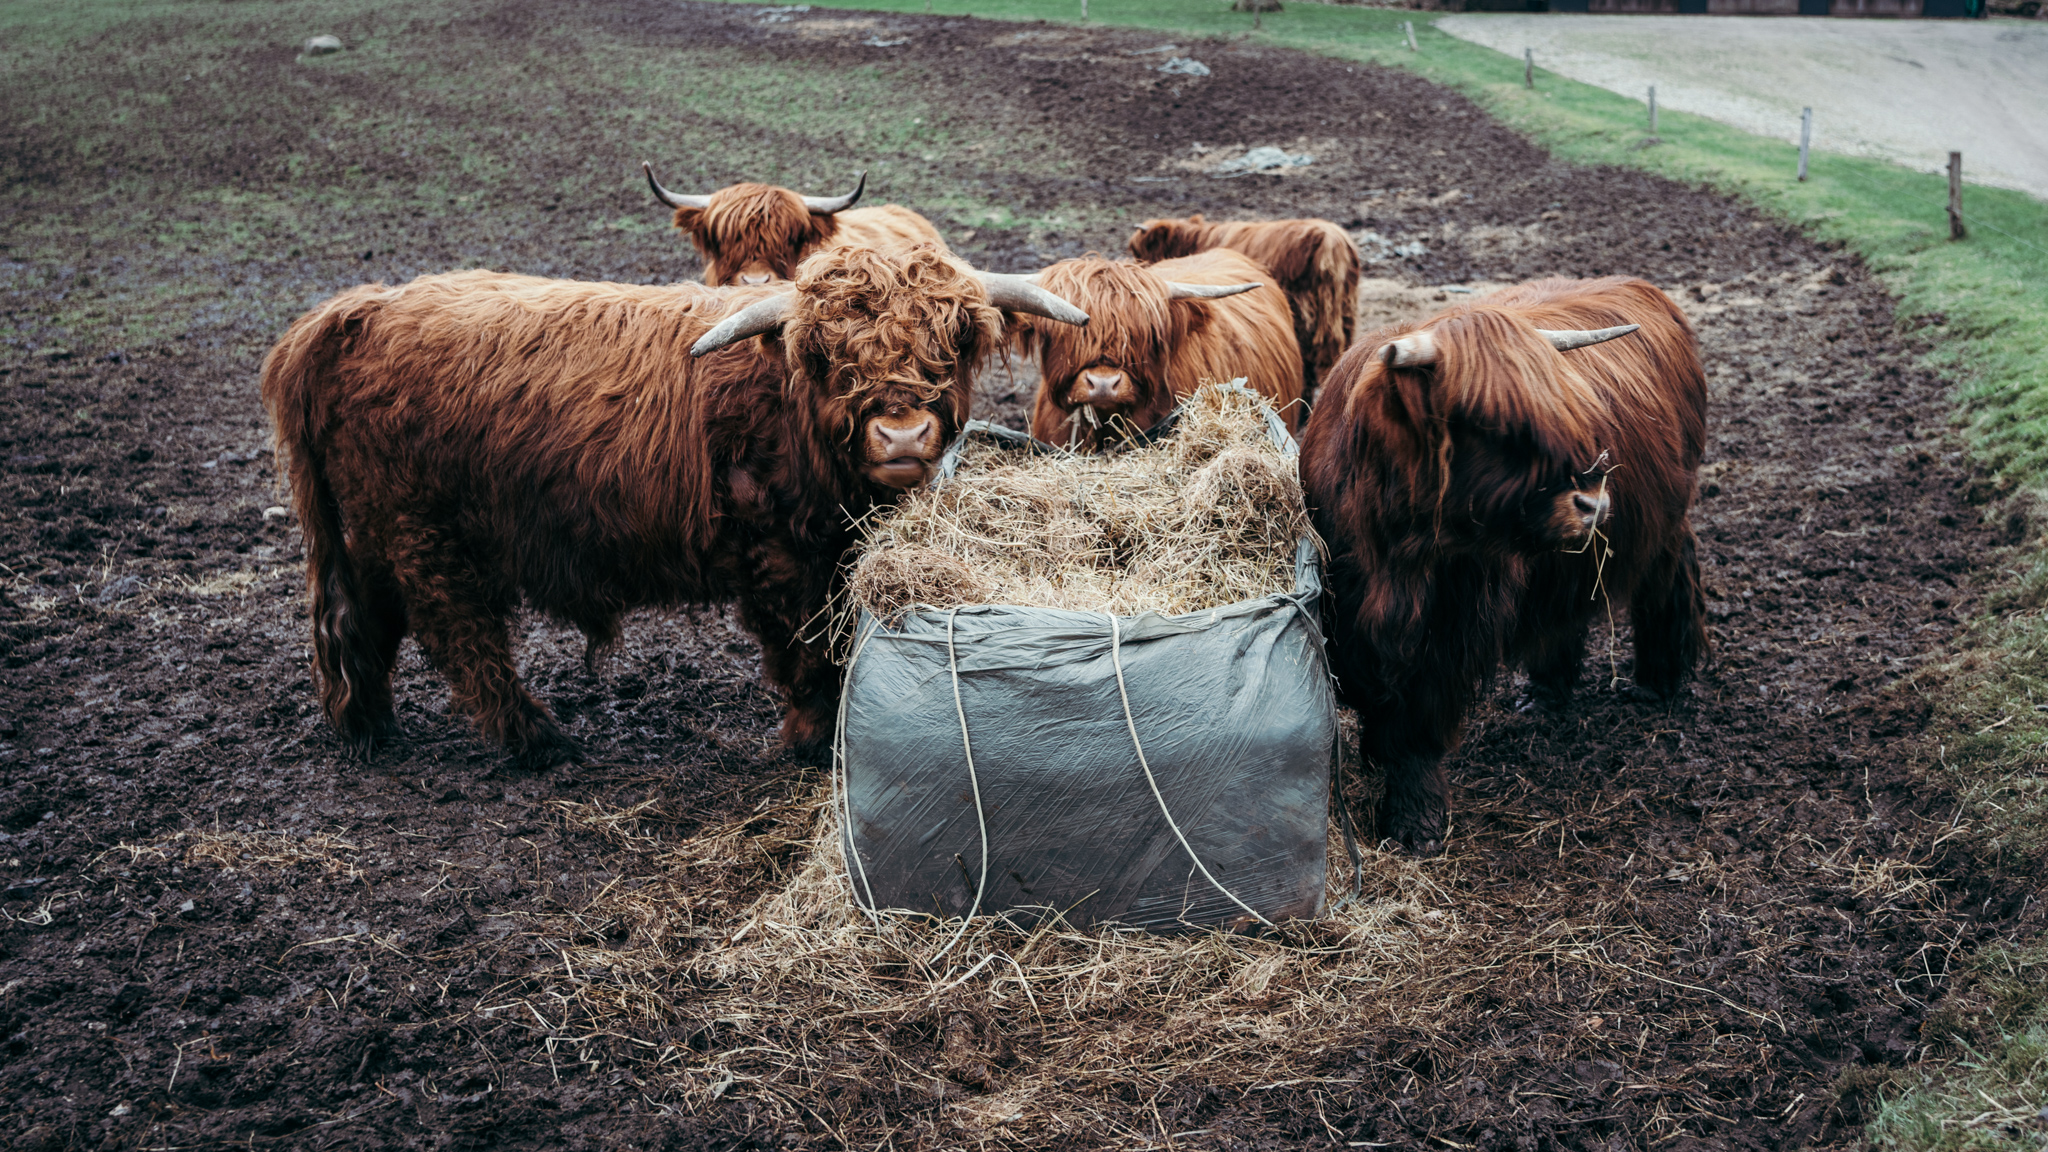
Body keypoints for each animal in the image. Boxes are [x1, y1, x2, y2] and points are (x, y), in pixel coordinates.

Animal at [261, 244, 1088, 769]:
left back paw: (367, 726)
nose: (903, 433)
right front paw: (811, 742)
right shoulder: (780, 554)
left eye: (955, 337)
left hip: (375, 528)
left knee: (366, 615)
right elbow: (808, 647)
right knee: (455, 629)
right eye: (824, 353)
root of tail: (359, 311)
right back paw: (535, 741)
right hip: (421, 528)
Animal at [1299, 276, 1709, 857]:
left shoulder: (1453, 628)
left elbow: (1420, 721)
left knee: (1667, 581)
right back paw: (1544, 693)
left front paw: (1416, 820)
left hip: (1666, 522)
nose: (1592, 501)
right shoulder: (1346, 620)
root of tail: (1641, 287)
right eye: (1488, 423)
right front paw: (1376, 755)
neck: (1399, 559)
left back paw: (1659, 681)